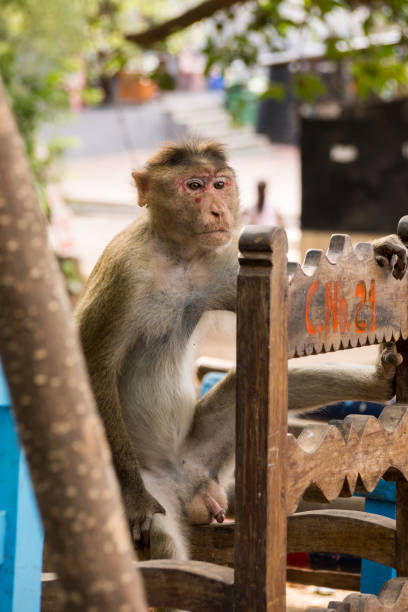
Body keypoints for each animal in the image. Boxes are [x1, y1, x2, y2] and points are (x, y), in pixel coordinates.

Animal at [75, 139, 404, 564]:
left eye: (220, 184)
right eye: (193, 186)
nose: (219, 209)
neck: (178, 256)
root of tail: (190, 487)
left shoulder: (220, 260)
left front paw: (380, 246)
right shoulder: (125, 271)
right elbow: (91, 360)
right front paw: (134, 499)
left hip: (206, 453)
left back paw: (379, 383)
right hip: (160, 486)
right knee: (164, 539)